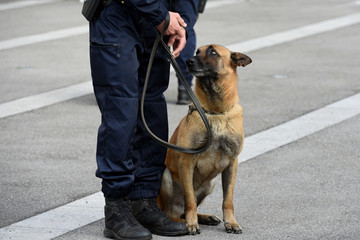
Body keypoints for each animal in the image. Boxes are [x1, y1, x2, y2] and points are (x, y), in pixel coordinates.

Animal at [156, 44, 252, 234]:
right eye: (197, 51)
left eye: (212, 52)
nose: (188, 61)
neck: (216, 112)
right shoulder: (187, 162)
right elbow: (190, 201)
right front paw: (192, 224)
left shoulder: (232, 163)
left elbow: (228, 200)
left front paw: (231, 222)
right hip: (166, 176)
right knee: (174, 213)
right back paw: (182, 222)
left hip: (210, 183)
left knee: (183, 211)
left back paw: (206, 217)